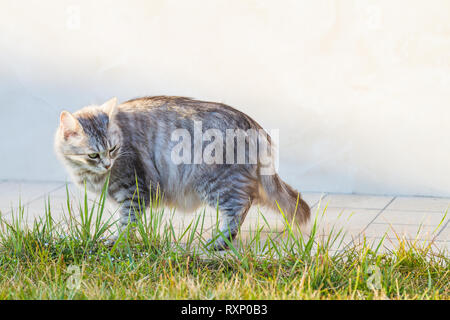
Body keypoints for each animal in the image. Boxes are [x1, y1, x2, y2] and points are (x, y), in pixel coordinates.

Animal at [54, 95, 310, 250]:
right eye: (93, 155)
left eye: (112, 149)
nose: (107, 165)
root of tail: (254, 126)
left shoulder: (134, 190)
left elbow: (127, 222)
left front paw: (118, 241)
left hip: (217, 183)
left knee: (240, 207)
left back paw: (219, 243)